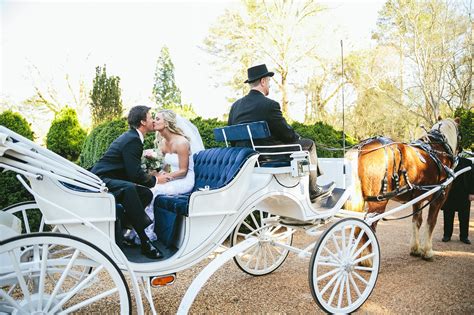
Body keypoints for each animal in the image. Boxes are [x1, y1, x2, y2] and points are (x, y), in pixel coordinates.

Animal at [346, 117, 462, 262]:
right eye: (460, 135)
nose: (461, 150)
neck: (439, 149)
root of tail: (361, 148)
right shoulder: (439, 197)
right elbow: (431, 222)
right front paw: (427, 251)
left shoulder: (417, 199)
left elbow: (417, 221)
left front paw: (415, 249)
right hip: (377, 203)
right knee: (367, 227)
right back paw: (368, 260)